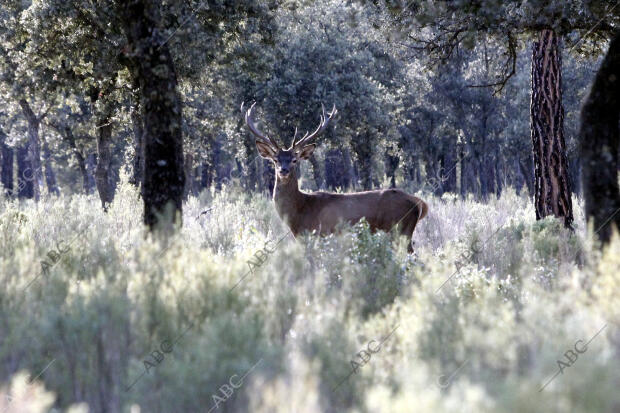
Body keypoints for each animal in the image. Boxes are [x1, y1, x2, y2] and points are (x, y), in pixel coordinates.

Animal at [242, 101, 426, 253]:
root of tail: (419, 204)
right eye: (275, 160)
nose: (284, 170)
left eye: (294, 159)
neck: (300, 212)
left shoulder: (319, 234)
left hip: (400, 231)